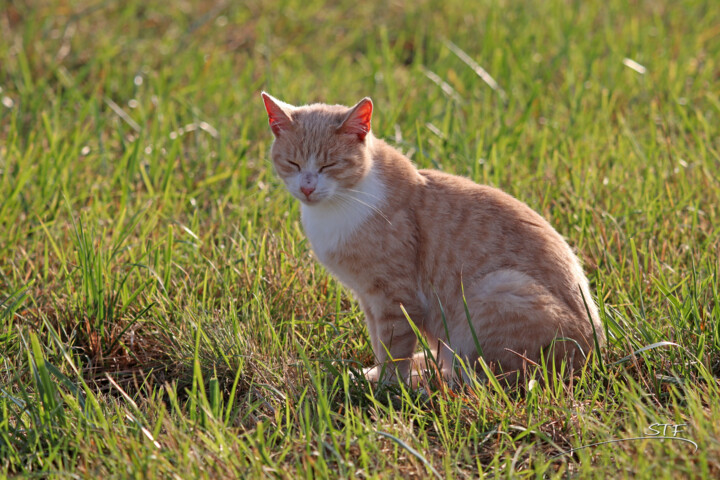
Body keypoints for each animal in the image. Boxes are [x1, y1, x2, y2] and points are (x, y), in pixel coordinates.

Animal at [262, 92, 604, 386]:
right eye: (292, 162)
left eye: (329, 164)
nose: (307, 187)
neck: (338, 207)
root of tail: (594, 357)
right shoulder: (368, 299)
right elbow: (379, 343)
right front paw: (377, 375)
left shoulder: (395, 298)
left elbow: (393, 348)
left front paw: (388, 386)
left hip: (497, 289)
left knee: (486, 379)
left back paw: (425, 382)